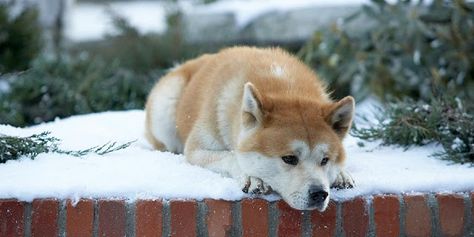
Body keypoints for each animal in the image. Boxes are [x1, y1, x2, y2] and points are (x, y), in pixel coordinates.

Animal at [146, 46, 354, 211]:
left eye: (325, 160)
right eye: (289, 158)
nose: (319, 194)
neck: (286, 88)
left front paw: (341, 174)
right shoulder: (196, 150)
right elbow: (231, 156)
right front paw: (252, 178)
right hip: (165, 107)